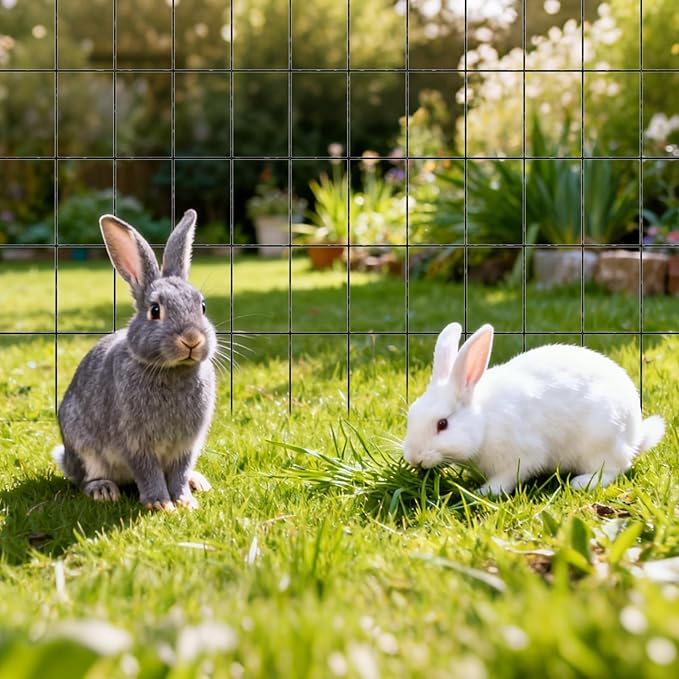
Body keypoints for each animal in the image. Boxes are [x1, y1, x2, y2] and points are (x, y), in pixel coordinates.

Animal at [52, 209, 217, 511]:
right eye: (155, 310)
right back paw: (103, 490)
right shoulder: (136, 443)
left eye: (202, 306)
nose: (192, 339)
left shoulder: (187, 446)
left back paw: (196, 481)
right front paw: (160, 504)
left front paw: (185, 501)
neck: (171, 370)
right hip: (82, 447)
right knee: (85, 478)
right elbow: (148, 471)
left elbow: (179, 472)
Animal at [402, 322, 666, 496]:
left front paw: (485, 491)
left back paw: (582, 482)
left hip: (600, 442)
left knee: (616, 468)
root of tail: (635, 437)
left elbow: (509, 477)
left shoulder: (523, 456)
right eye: (411, 414)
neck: (484, 422)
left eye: (442, 424)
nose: (414, 458)